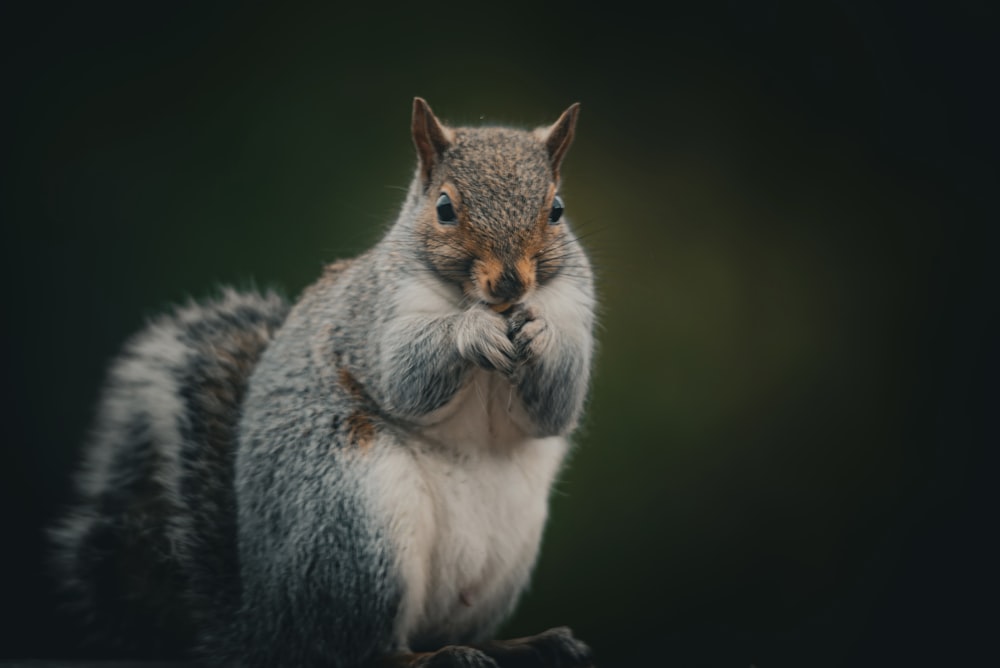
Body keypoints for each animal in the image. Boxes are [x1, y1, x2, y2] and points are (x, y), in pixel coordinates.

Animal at [50, 95, 596, 668]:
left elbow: (556, 406)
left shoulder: (574, 304)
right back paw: (439, 655)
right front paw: (470, 332)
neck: (486, 303)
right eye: (445, 208)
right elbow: (405, 377)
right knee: (361, 648)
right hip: (355, 530)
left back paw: (521, 643)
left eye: (556, 209)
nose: (511, 283)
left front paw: (541, 334)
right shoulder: (373, 316)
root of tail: (265, 627)